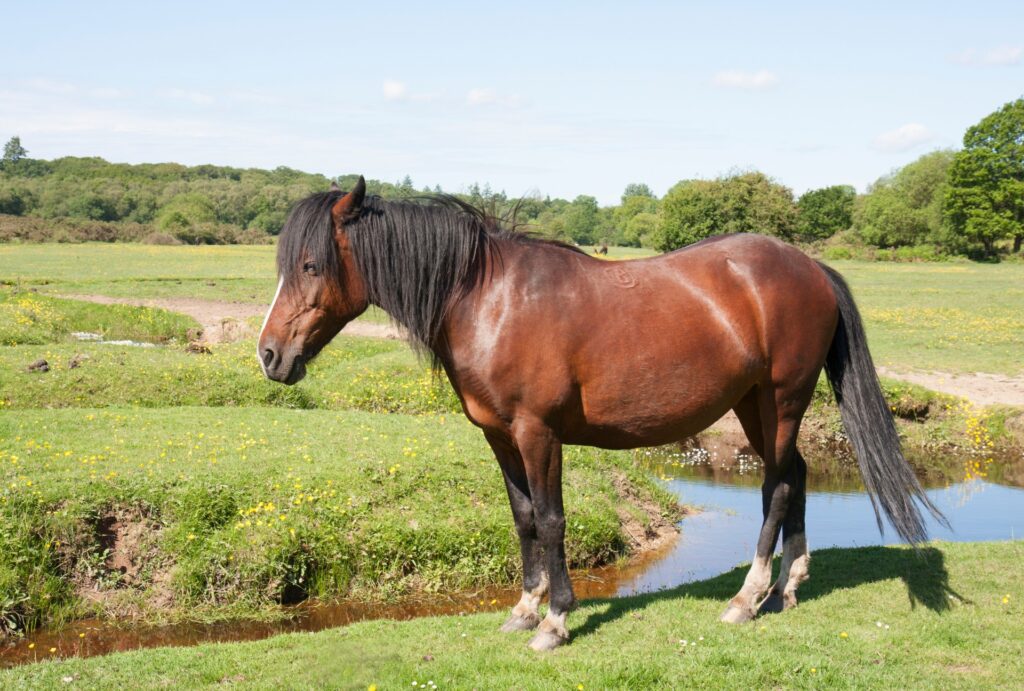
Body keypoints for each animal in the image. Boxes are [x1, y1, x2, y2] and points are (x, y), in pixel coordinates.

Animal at [258, 178, 945, 651]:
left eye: (311, 265)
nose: (270, 356)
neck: (488, 300)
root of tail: (812, 267)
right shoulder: (500, 437)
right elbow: (524, 520)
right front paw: (524, 609)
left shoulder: (538, 434)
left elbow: (553, 521)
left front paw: (556, 621)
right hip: (755, 406)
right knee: (798, 476)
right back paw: (789, 587)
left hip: (780, 402)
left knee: (776, 487)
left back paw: (747, 598)